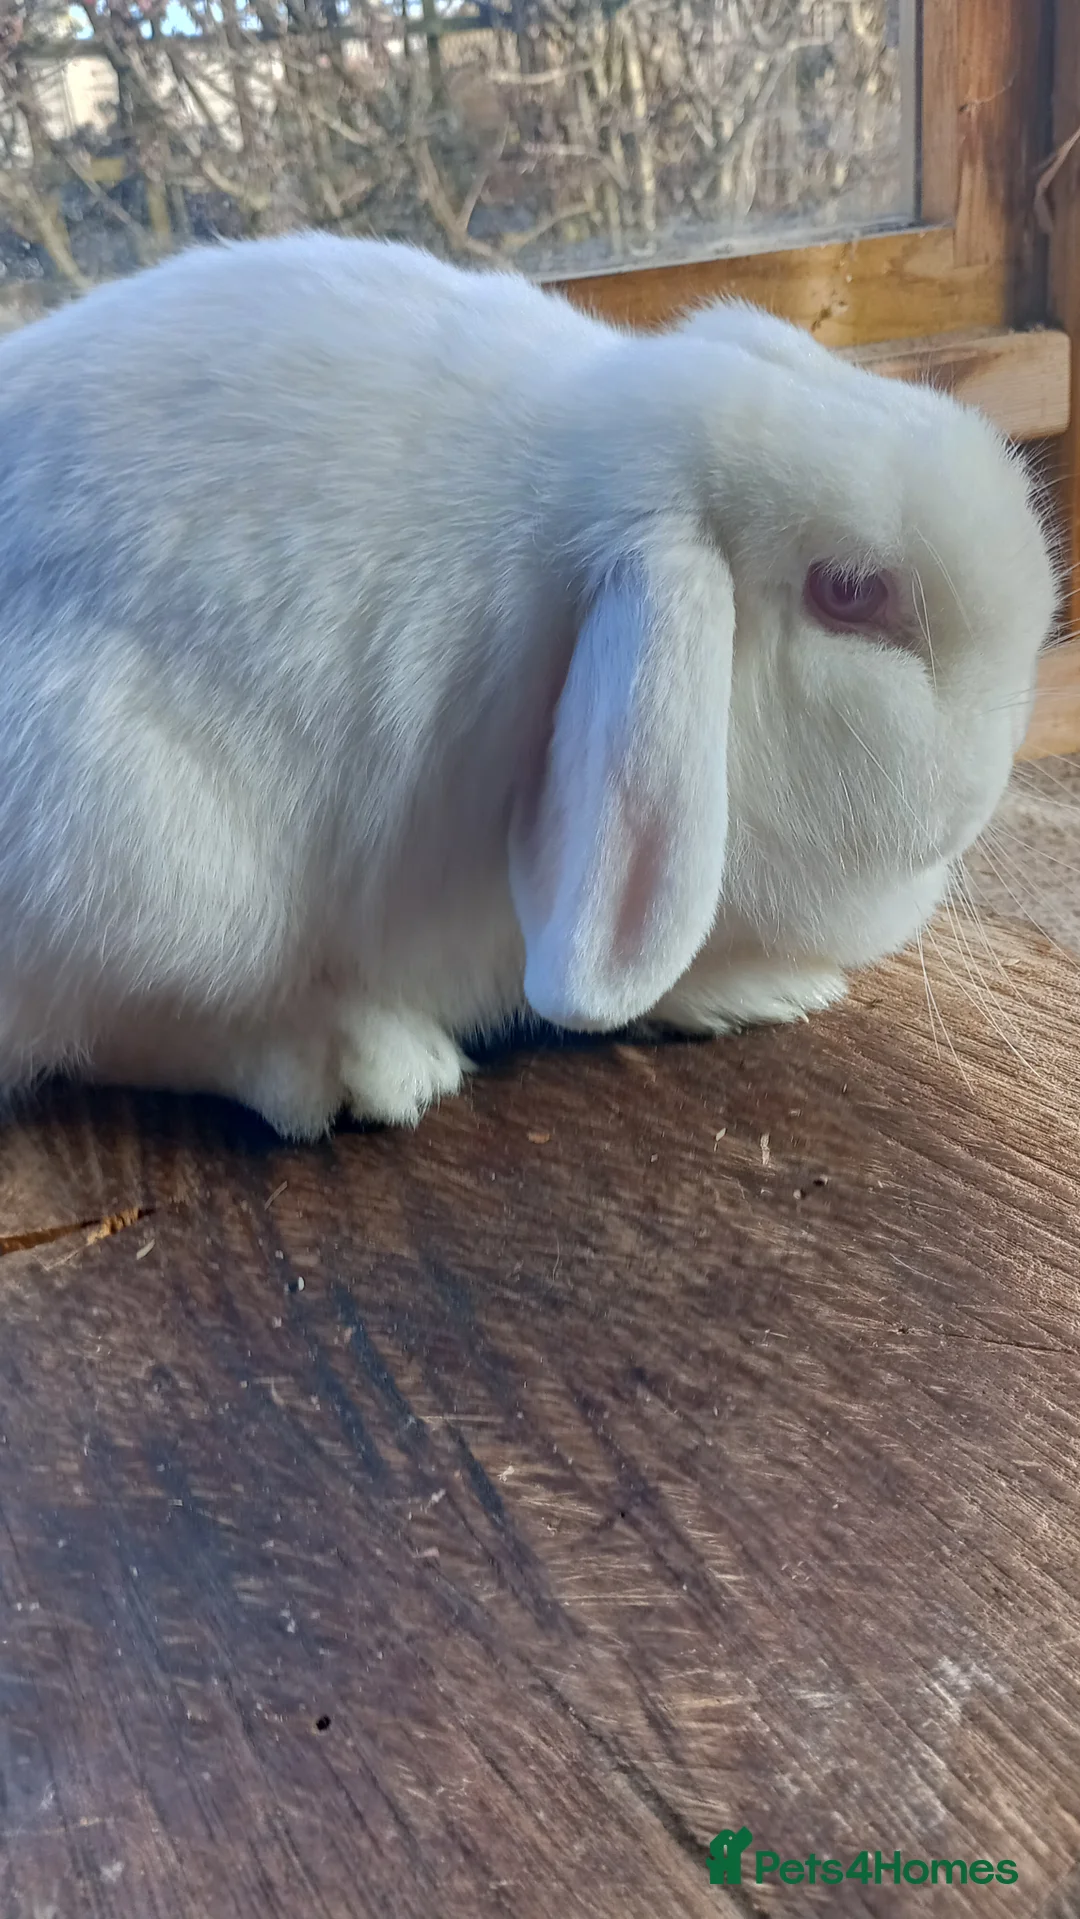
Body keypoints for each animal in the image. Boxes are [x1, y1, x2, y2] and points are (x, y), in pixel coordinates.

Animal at [0, 233, 1057, 1138]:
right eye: (848, 593)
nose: (1005, 751)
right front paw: (770, 989)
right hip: (141, 852)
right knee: (135, 1029)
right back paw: (366, 1064)